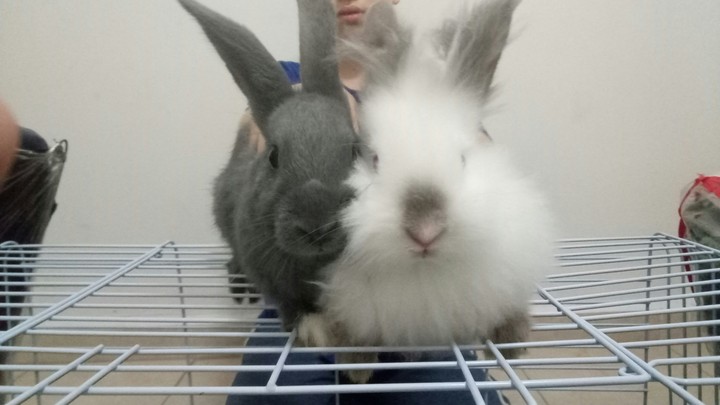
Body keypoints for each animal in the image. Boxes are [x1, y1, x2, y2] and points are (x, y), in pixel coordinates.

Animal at [179, 0, 359, 330]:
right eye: (274, 156)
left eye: (355, 150)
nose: (318, 227)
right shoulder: (271, 278)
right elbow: (288, 303)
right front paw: (300, 325)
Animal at [306, 0, 556, 383]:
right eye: (374, 159)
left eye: (463, 158)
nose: (425, 231)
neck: (423, 274)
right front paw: (357, 369)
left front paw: (513, 345)